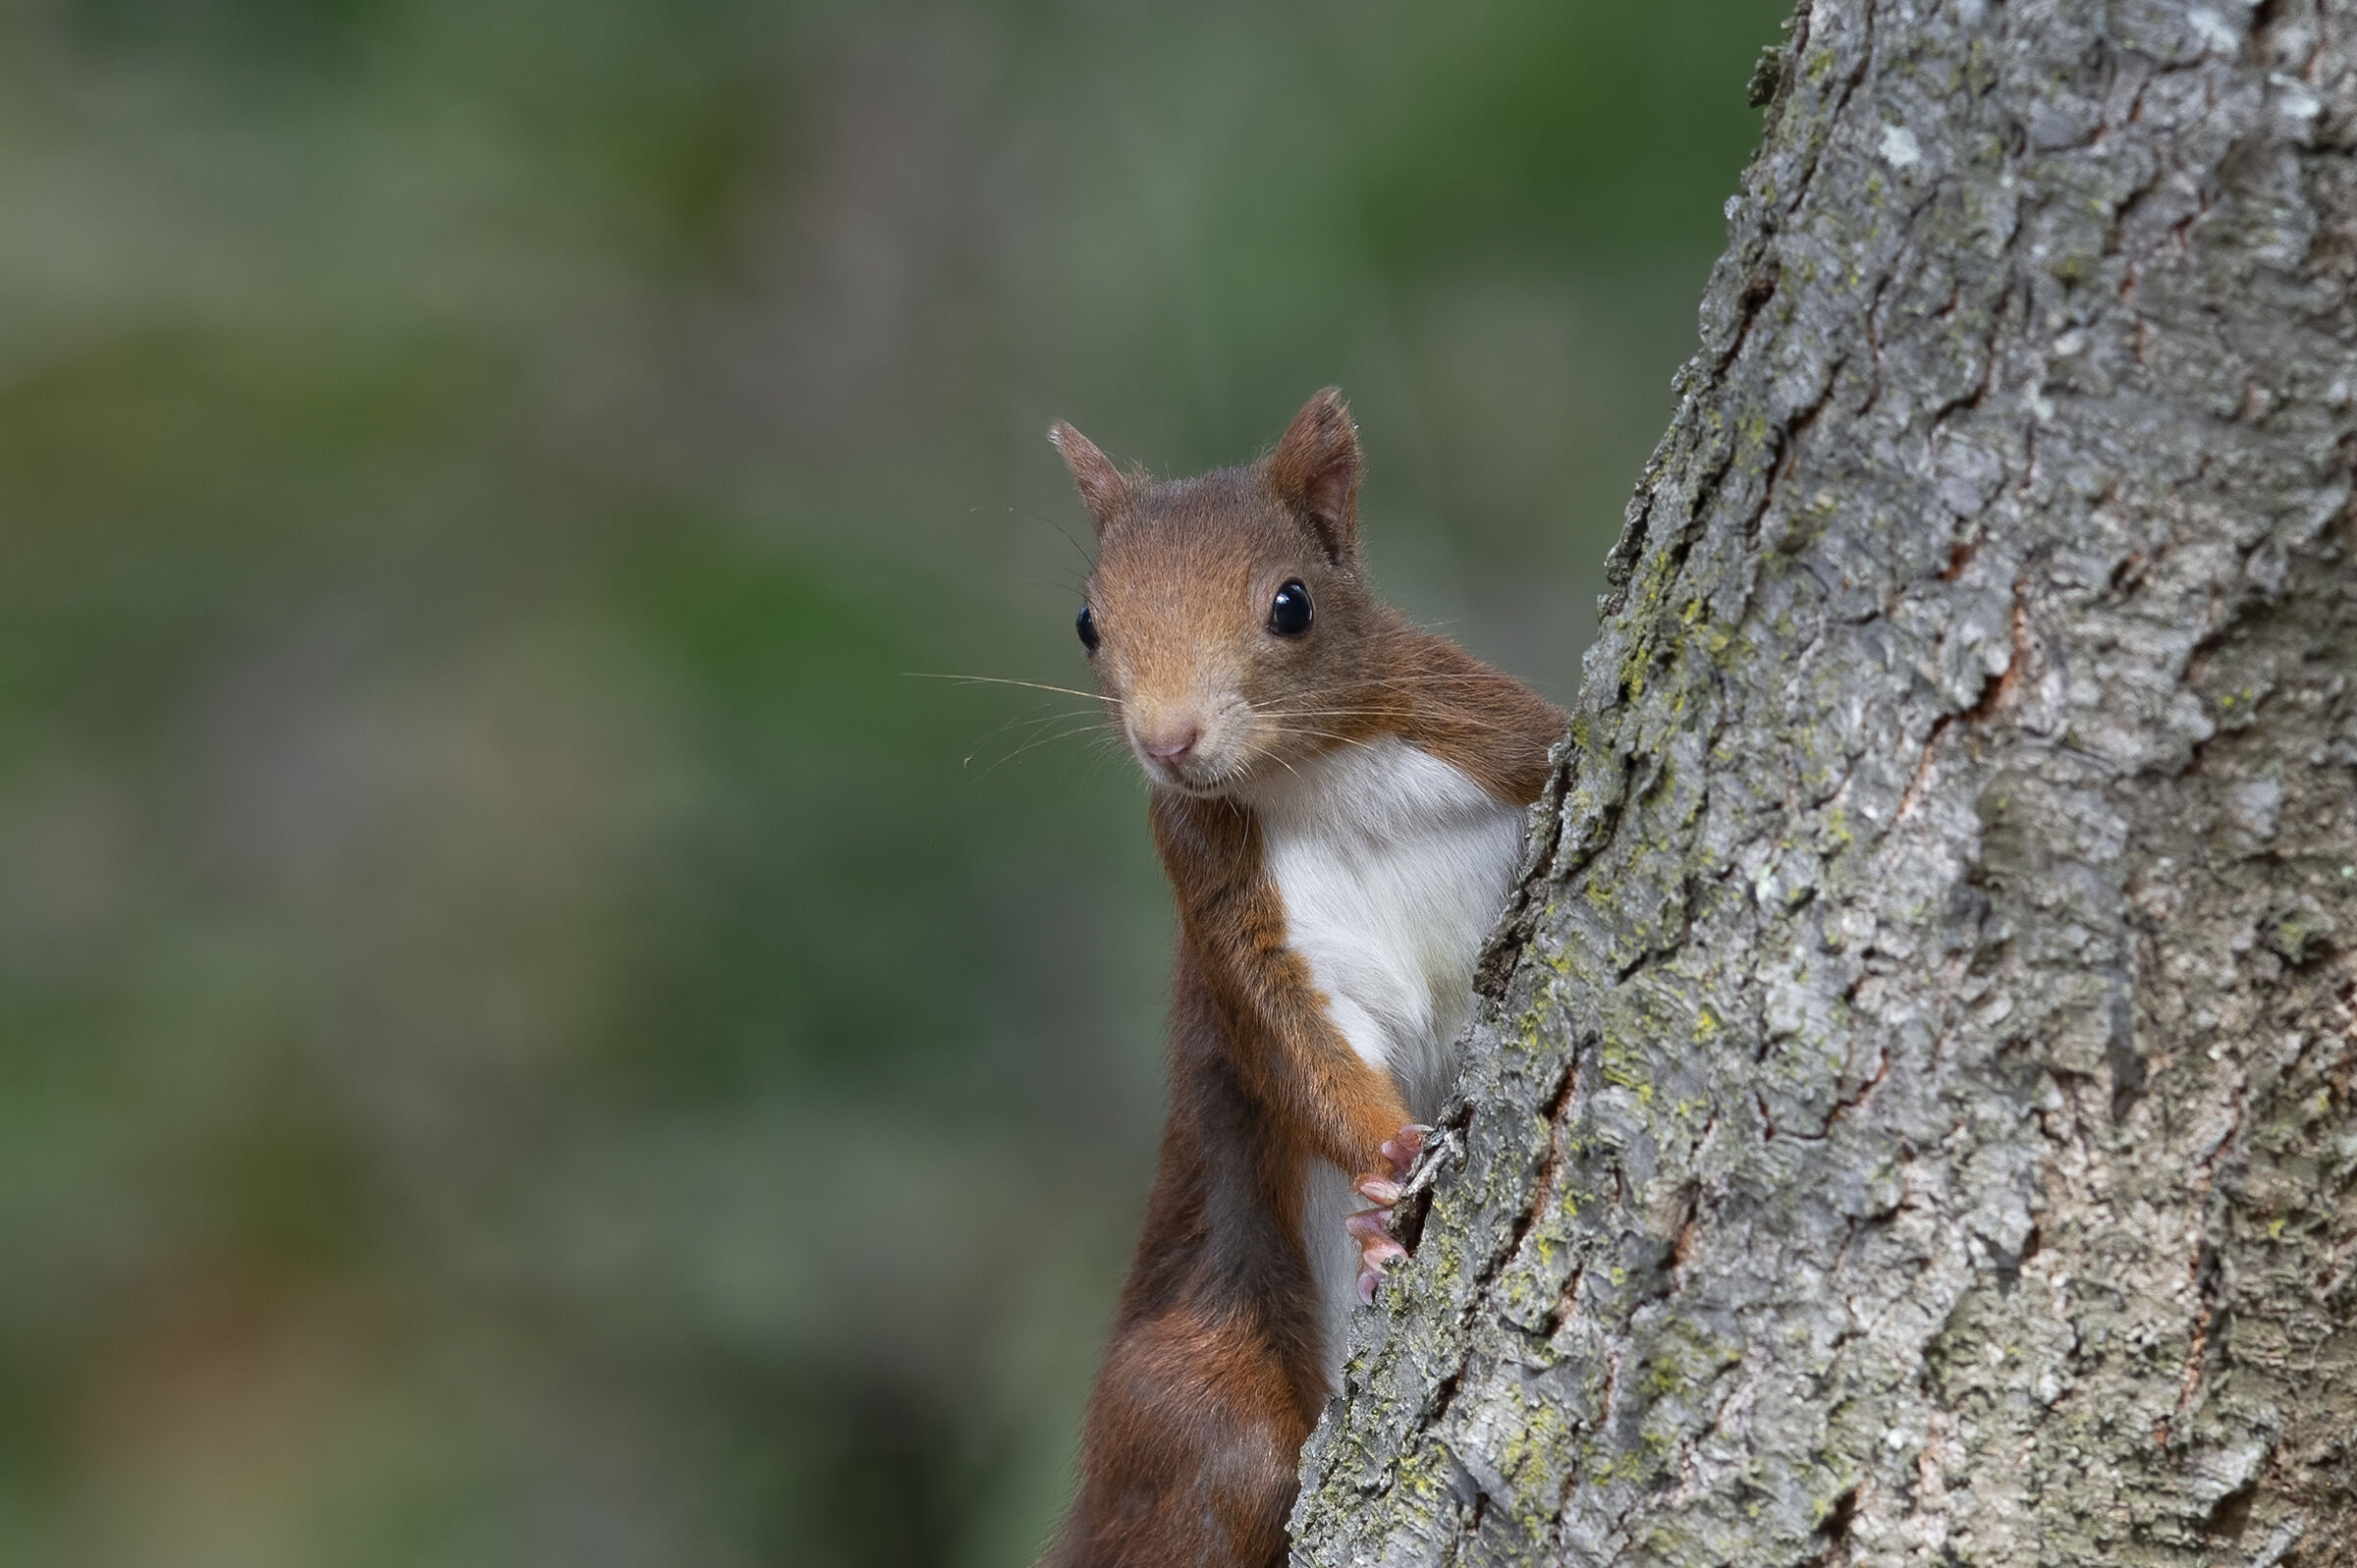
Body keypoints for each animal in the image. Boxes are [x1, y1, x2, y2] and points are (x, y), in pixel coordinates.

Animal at [1038, 389, 1565, 1568]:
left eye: (1292, 604)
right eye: (1088, 621)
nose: (1168, 739)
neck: (1314, 776)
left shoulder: (1500, 734)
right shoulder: (1224, 899)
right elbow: (1295, 1046)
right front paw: (1389, 1159)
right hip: (1203, 1387)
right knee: (1220, 1465)